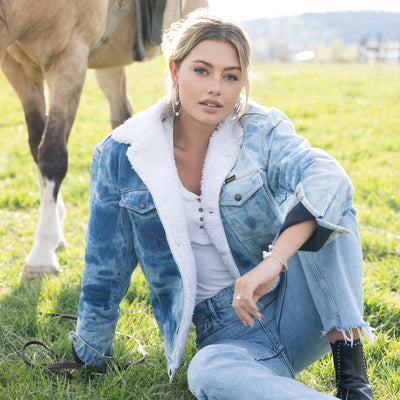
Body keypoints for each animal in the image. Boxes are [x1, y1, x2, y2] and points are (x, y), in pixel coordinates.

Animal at [1, 0, 209, 276]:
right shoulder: (17, 67)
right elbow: (37, 146)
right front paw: (55, 231)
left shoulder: (70, 60)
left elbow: (52, 156)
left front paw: (42, 252)